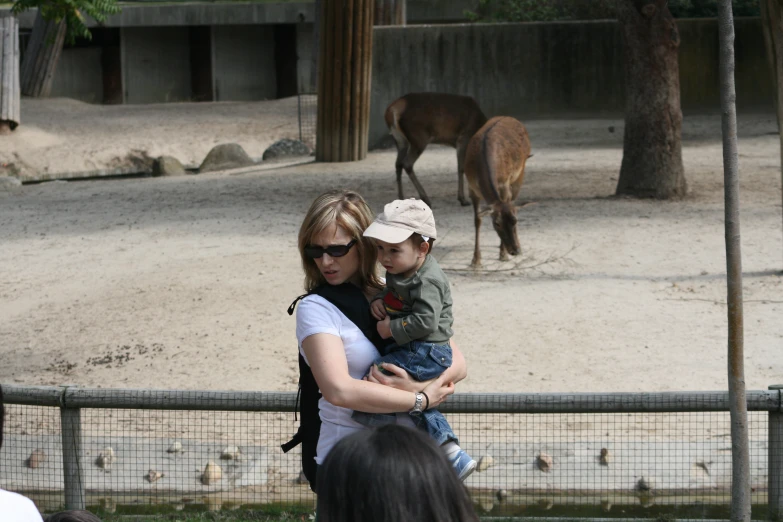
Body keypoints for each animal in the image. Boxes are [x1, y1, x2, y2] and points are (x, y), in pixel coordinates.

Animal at [466, 115, 532, 266]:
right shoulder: (472, 187)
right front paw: (476, 260)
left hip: (520, 172)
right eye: (497, 224)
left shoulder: (504, 185)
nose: (515, 251)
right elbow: (477, 220)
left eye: (515, 221)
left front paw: (503, 254)